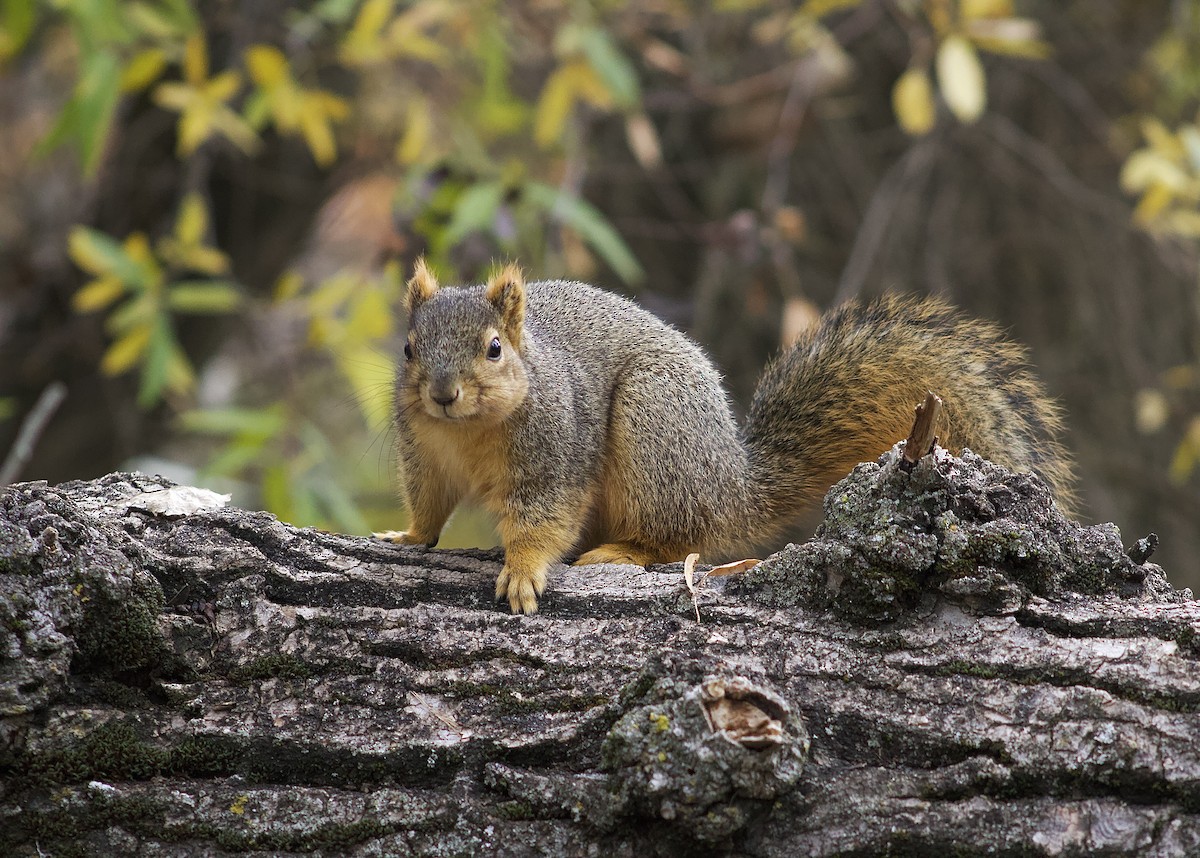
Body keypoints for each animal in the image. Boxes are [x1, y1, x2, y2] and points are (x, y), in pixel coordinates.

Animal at [376, 259, 1075, 614]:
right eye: (408, 349)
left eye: (494, 348)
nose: (442, 393)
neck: (467, 433)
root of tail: (731, 486)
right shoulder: (424, 455)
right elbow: (429, 505)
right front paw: (406, 536)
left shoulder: (555, 453)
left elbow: (543, 517)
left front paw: (522, 573)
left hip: (656, 430)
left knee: (675, 539)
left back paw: (622, 552)